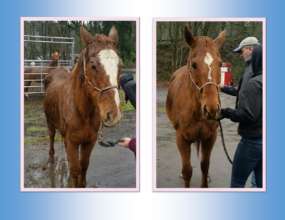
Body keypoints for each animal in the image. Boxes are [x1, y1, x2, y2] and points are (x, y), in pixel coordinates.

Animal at [43, 26, 121, 187]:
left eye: (120, 65)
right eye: (93, 65)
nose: (113, 114)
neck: (82, 111)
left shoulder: (89, 141)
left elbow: (83, 166)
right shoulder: (72, 142)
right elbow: (75, 169)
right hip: (50, 122)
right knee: (51, 137)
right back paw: (51, 160)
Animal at [165, 27, 225, 188]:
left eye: (220, 64)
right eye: (194, 65)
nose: (211, 108)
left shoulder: (210, 137)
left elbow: (205, 165)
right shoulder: (181, 138)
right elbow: (187, 170)